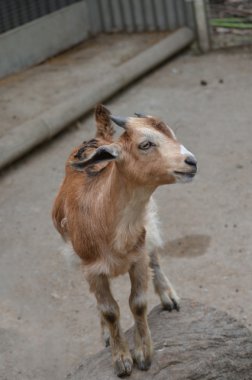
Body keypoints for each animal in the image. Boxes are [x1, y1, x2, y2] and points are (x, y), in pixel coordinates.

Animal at [51, 104, 197, 378]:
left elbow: (137, 303)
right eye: (145, 144)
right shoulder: (91, 269)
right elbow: (109, 310)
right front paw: (121, 359)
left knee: (155, 257)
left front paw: (143, 354)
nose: (191, 161)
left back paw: (169, 297)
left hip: (149, 224)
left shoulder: (137, 258)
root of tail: (100, 136)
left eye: (171, 134)